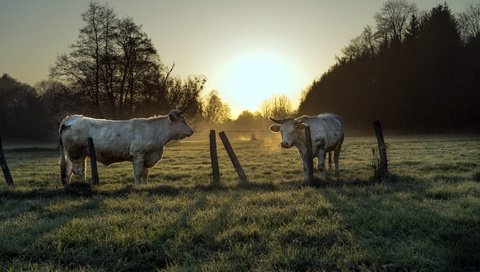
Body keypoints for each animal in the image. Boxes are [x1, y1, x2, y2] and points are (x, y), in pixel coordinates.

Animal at [59, 109, 194, 185]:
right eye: (183, 121)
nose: (192, 131)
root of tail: (71, 118)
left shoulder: (147, 156)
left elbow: (145, 173)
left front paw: (145, 186)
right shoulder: (138, 155)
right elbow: (138, 173)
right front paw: (137, 187)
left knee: (74, 170)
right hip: (76, 153)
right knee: (79, 171)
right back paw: (83, 184)